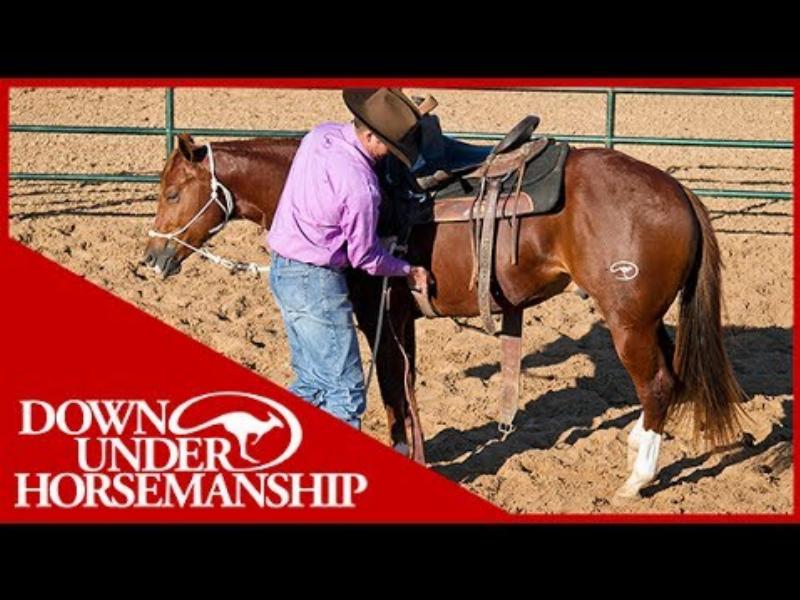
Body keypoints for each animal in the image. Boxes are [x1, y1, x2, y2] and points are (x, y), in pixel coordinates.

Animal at [144, 131, 746, 500]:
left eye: (172, 193)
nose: (150, 259)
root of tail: (678, 191)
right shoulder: (400, 319)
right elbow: (404, 387)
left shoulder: (377, 315)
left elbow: (392, 387)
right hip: (647, 319)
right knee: (670, 380)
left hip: (629, 323)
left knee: (658, 382)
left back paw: (635, 481)